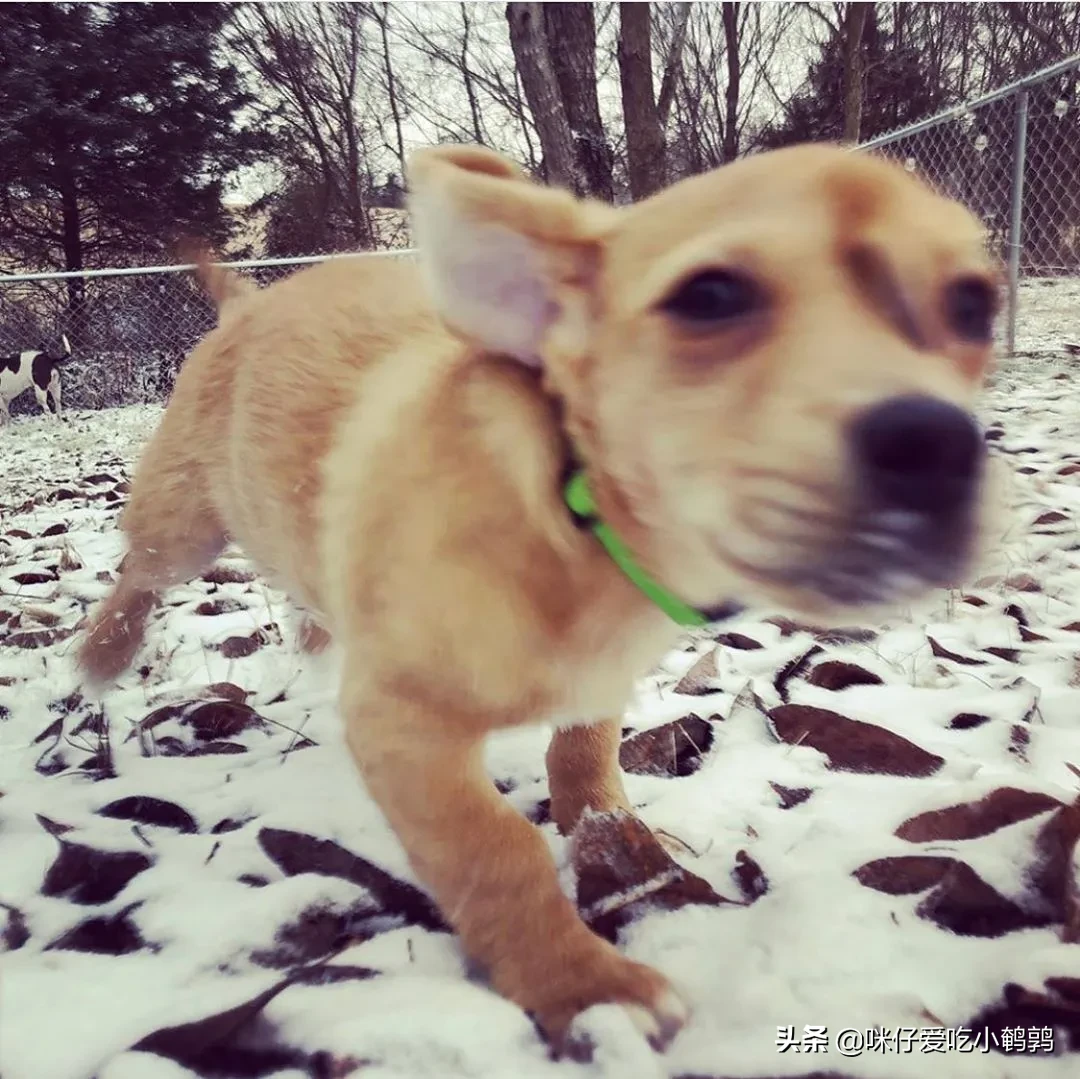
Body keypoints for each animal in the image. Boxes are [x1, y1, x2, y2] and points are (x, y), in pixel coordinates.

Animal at [79, 143, 997, 1054]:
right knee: (137, 575)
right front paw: (585, 986)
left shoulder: (601, 678)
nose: (935, 443)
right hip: (183, 525)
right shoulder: (402, 724)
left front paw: (613, 831)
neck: (573, 523)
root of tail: (248, 301)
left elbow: (583, 751)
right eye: (710, 298)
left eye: (976, 305)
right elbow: (495, 850)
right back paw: (102, 653)